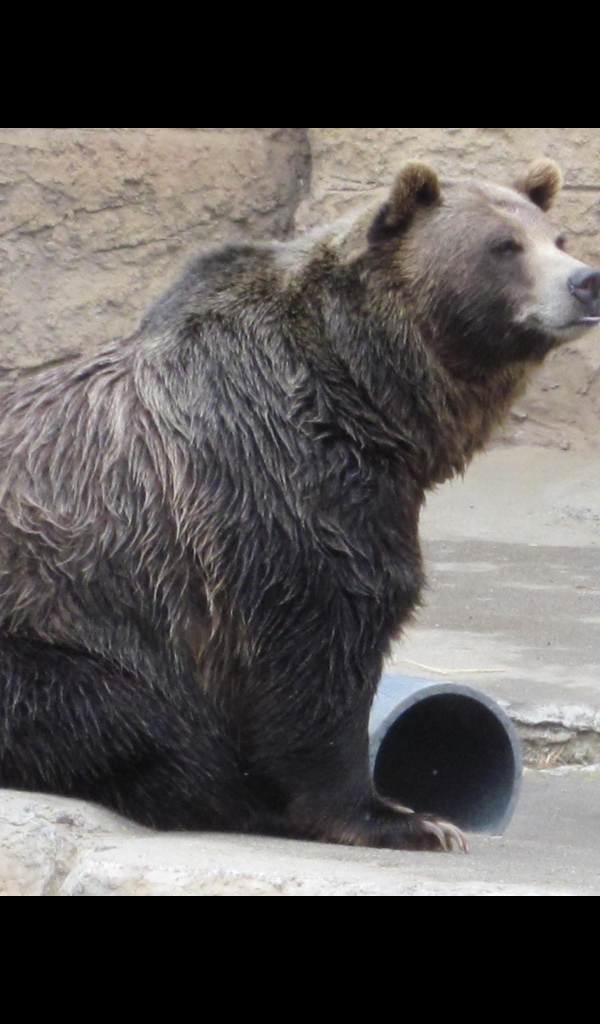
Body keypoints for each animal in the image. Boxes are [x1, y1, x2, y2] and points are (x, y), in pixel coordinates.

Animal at [0, 159, 597, 853]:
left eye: (557, 237)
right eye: (503, 246)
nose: (585, 281)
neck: (369, 399)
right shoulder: (276, 485)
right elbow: (319, 643)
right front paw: (403, 818)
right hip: (49, 627)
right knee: (133, 719)